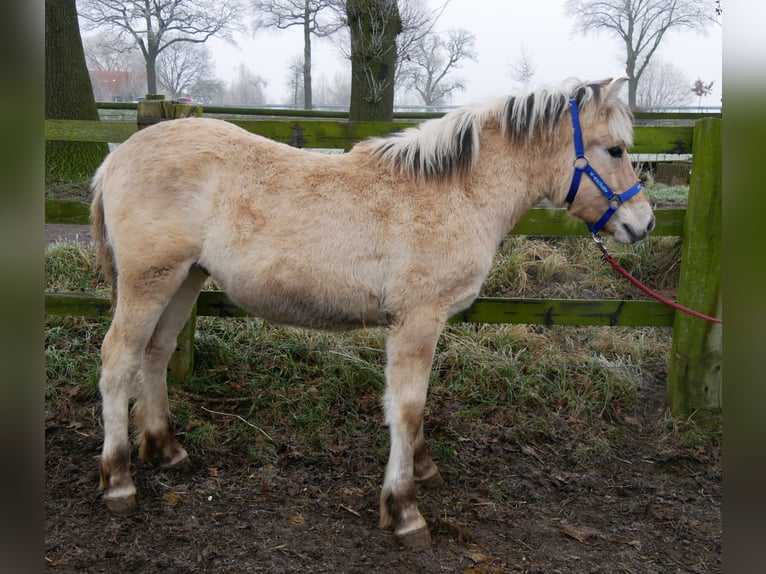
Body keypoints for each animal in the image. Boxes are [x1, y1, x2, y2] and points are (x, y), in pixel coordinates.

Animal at [90, 77, 656, 548]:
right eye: (615, 149)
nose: (644, 223)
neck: (454, 192)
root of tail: (115, 159)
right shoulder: (417, 321)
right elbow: (406, 408)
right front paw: (404, 509)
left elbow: (416, 408)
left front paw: (423, 468)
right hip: (150, 280)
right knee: (118, 361)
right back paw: (118, 481)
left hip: (185, 278)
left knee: (155, 353)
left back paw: (166, 448)